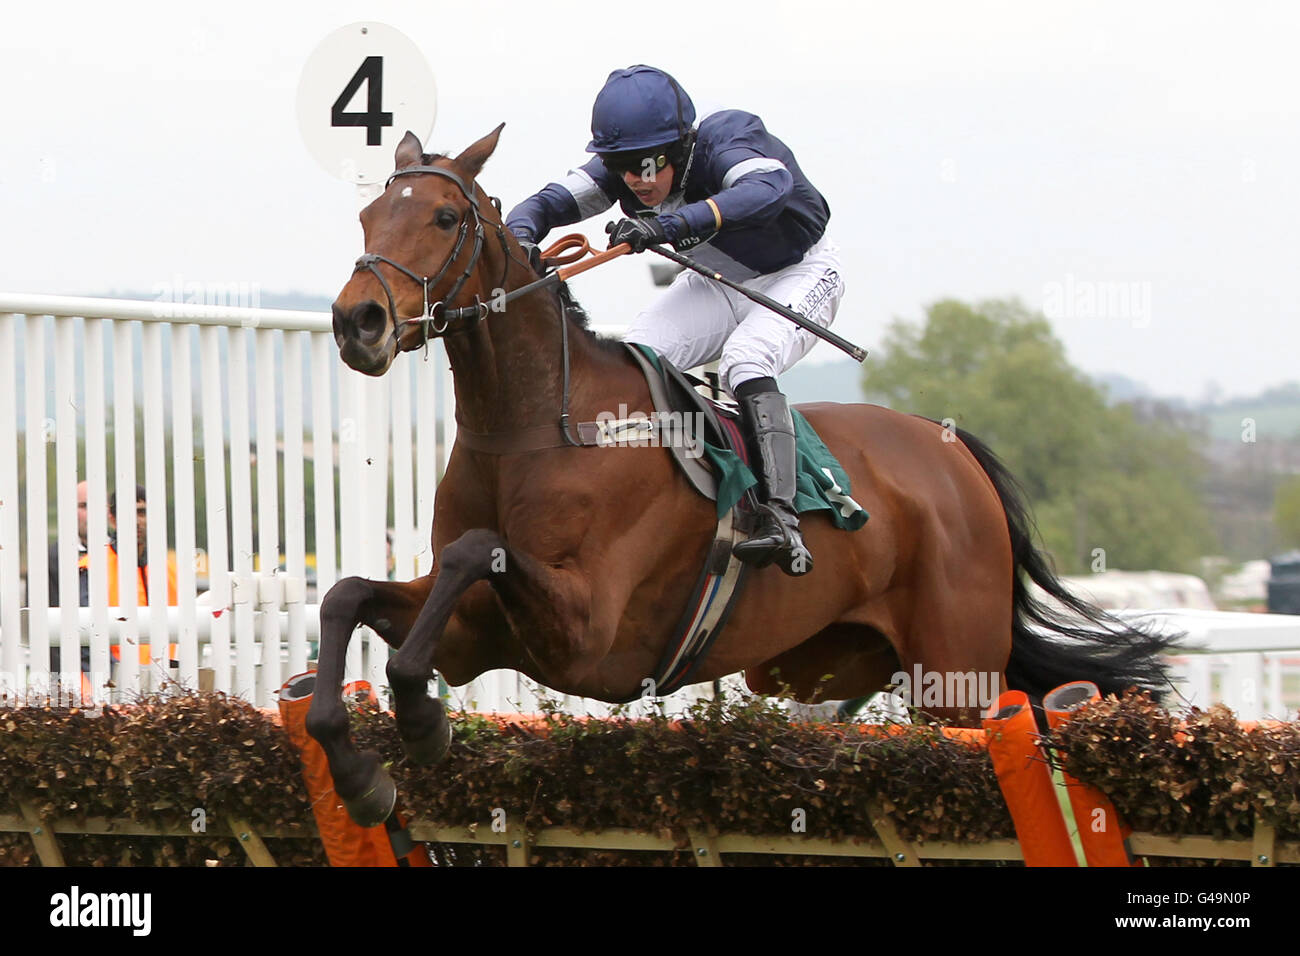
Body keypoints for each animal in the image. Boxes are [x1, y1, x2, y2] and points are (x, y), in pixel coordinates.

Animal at [306, 125, 1180, 832]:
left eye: (444, 219)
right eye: (368, 218)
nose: (358, 322)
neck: (530, 427)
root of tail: (952, 449)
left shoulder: (586, 633)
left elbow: (473, 551)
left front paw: (421, 721)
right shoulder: (473, 634)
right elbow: (348, 594)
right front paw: (360, 768)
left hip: (955, 675)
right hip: (836, 662)